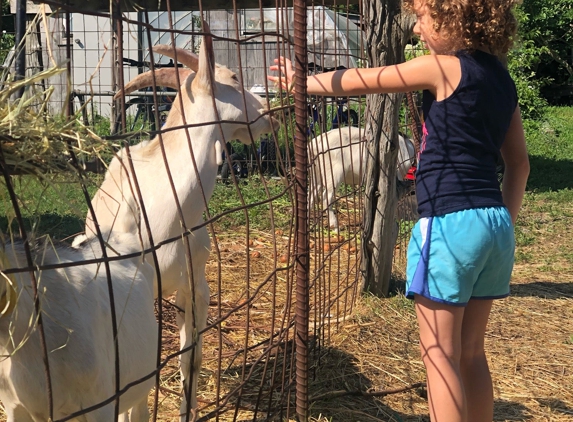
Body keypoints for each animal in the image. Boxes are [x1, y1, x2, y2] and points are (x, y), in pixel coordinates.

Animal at [76, 20, 278, 418]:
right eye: (233, 76)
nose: (269, 112)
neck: (166, 213)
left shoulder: (195, 285)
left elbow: (191, 359)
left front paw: (190, 411)